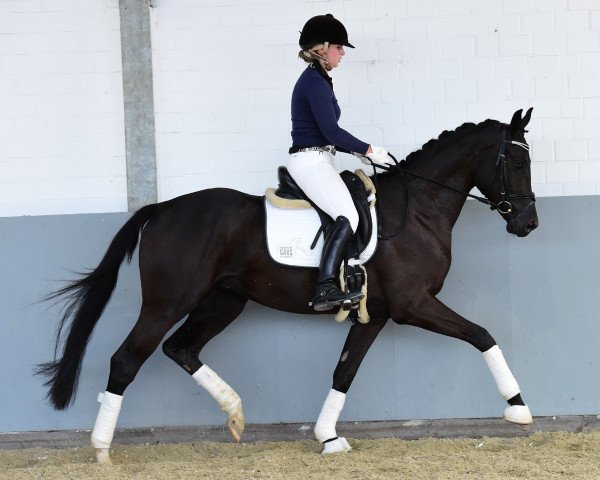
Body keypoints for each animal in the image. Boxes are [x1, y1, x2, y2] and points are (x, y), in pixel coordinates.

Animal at [37, 109, 540, 462]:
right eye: (517, 160)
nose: (529, 223)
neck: (416, 209)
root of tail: (161, 209)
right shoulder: (412, 304)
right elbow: (482, 334)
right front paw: (518, 408)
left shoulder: (375, 314)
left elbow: (343, 372)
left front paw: (328, 438)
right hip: (167, 303)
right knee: (126, 360)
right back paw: (102, 450)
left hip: (223, 302)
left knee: (181, 349)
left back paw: (236, 414)